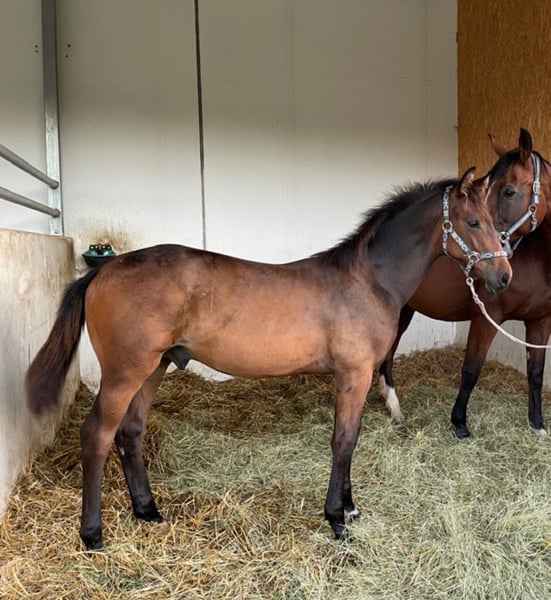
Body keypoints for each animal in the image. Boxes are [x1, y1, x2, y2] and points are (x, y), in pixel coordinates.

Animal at [26, 167, 511, 550]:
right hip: (125, 373)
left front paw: (350, 509)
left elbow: (351, 440)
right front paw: (337, 520)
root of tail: (103, 270)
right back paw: (93, 535)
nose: (503, 276)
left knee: (131, 432)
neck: (366, 279)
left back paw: (148, 510)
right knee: (97, 436)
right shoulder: (353, 375)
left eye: (493, 220)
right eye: (472, 221)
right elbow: (343, 442)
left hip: (153, 369)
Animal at [378, 129, 551, 438]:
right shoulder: (487, 317)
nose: (501, 268)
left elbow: (536, 373)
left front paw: (538, 424)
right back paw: (394, 406)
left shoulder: (541, 321)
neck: (538, 256)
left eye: (508, 191)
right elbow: (471, 370)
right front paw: (460, 423)